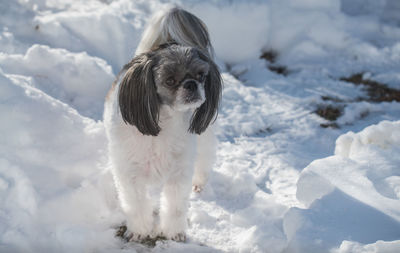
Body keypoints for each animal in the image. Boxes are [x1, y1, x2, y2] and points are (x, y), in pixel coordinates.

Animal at [103, 6, 222, 242]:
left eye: (201, 75)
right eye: (170, 80)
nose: (191, 84)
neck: (163, 125)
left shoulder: (179, 173)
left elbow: (175, 206)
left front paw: (174, 232)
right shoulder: (130, 174)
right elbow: (137, 205)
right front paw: (140, 231)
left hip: (203, 137)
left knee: (205, 156)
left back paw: (199, 181)